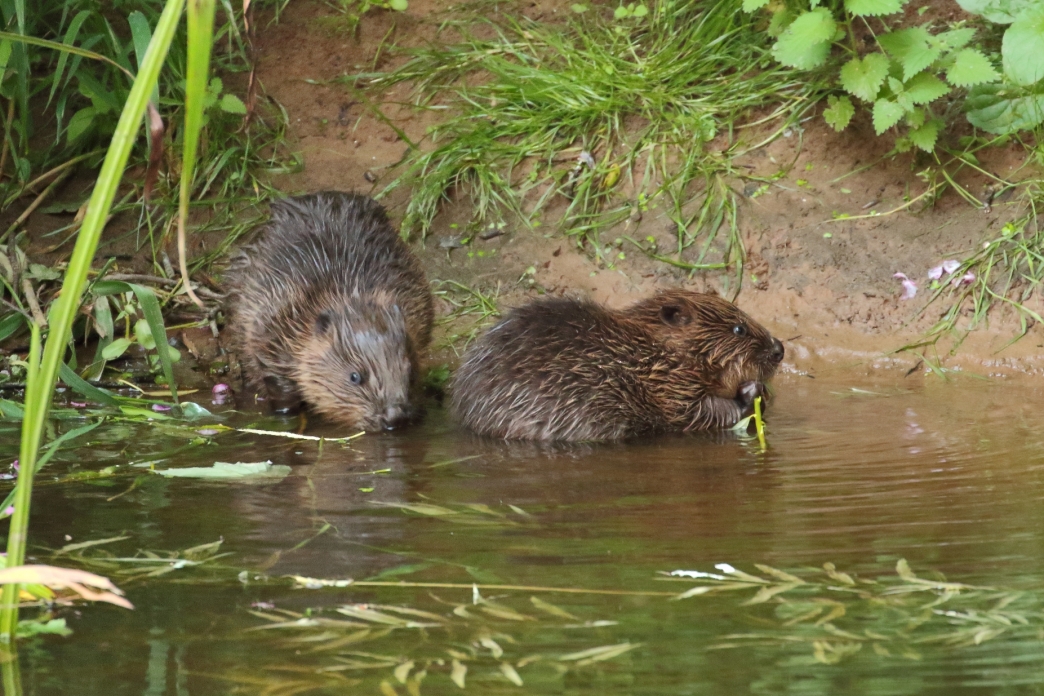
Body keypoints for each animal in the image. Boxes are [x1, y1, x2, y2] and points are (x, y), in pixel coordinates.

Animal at [226, 191, 434, 431]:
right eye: (355, 376)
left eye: (410, 371)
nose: (394, 417)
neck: (349, 293)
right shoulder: (271, 319)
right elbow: (275, 379)